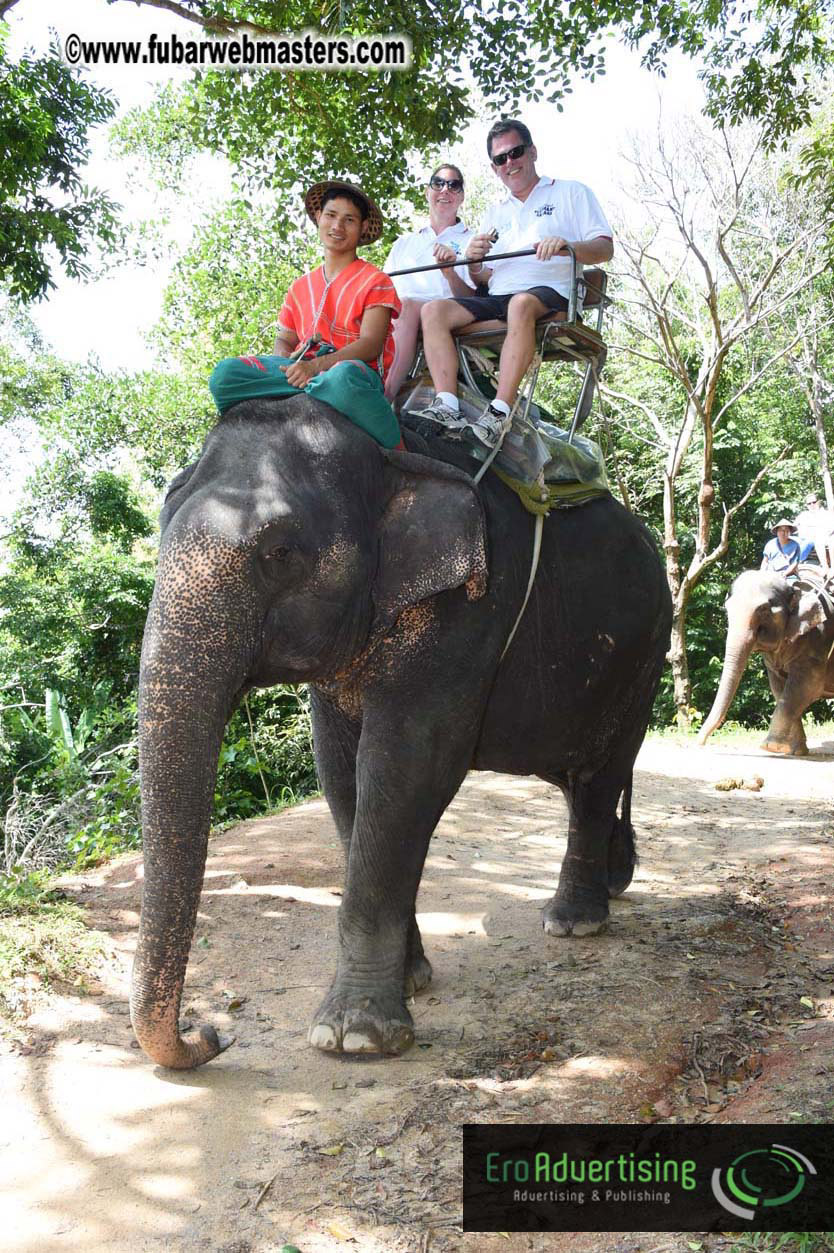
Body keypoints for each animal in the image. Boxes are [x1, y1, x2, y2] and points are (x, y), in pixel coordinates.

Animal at [130, 395, 672, 1069]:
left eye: (280, 552)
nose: (209, 1035)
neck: (389, 453)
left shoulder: (469, 607)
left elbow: (405, 765)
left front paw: (354, 1037)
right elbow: (340, 775)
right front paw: (412, 981)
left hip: (645, 654)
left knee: (601, 773)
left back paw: (574, 922)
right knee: (577, 777)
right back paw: (609, 883)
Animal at [699, 568, 834, 755]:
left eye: (763, 610)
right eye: (727, 608)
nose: (699, 742)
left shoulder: (818, 641)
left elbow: (806, 687)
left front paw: (771, 746)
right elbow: (778, 689)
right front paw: (795, 752)